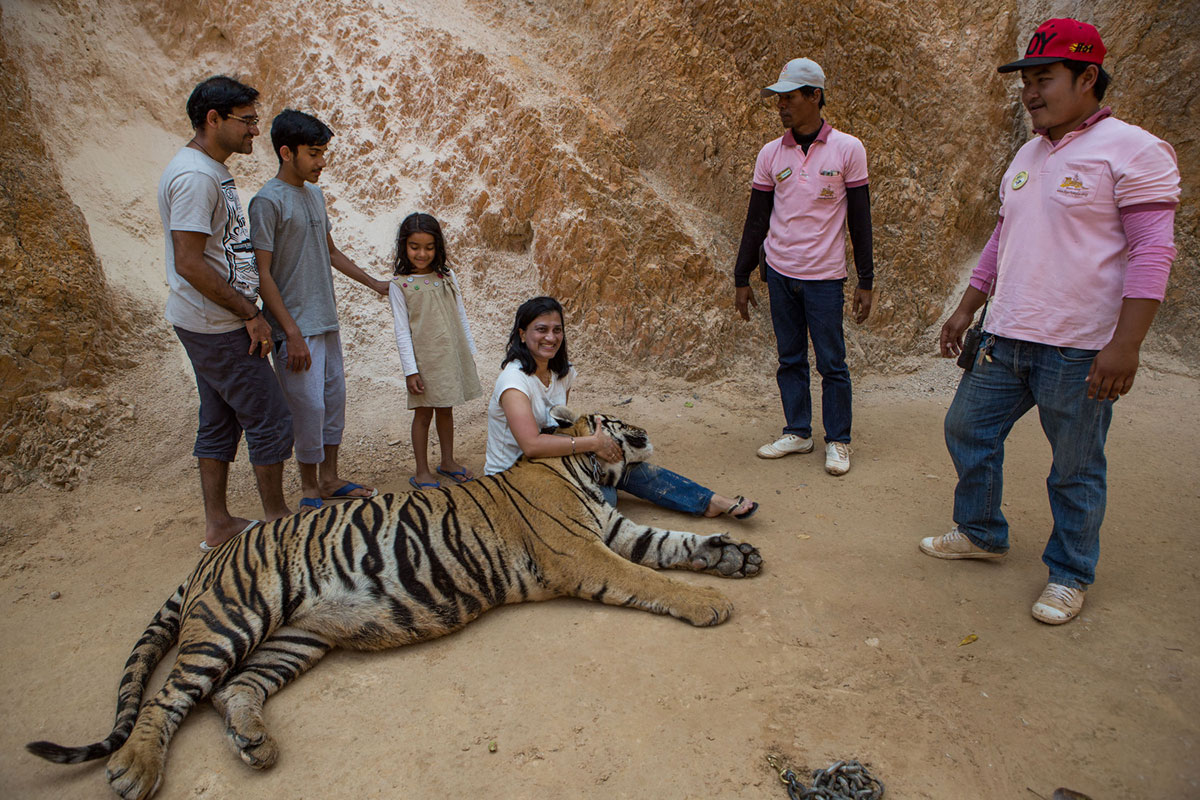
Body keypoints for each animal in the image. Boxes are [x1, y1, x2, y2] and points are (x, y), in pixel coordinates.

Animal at [26, 407, 763, 800]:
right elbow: (656, 580)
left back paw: (256, 744)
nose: (642, 430)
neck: (580, 469)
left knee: (234, 689)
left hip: (295, 638)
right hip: (235, 618)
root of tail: (208, 556)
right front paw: (709, 601)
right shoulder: (583, 553)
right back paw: (135, 769)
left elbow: (675, 544)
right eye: (618, 419)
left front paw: (735, 555)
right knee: (169, 694)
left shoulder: (614, 533)